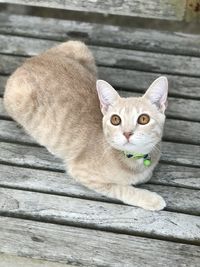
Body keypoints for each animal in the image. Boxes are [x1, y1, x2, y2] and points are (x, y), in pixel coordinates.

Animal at [3, 40, 168, 211]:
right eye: (115, 120)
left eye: (143, 119)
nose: (127, 133)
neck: (134, 159)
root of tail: (28, 62)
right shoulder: (82, 171)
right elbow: (122, 189)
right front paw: (151, 199)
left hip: (78, 45)